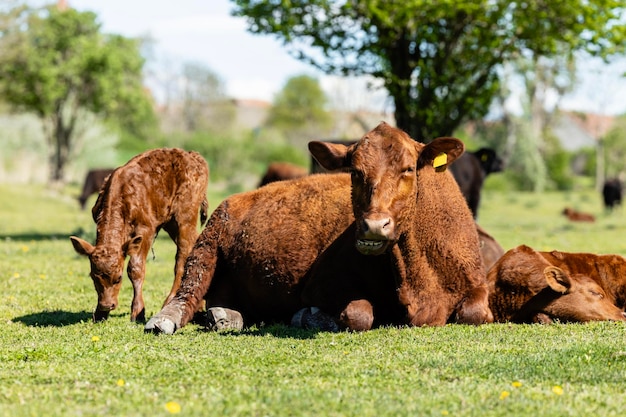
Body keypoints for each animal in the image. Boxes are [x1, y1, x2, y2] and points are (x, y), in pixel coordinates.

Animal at [70, 149, 208, 322]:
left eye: (118, 278)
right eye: (93, 277)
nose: (107, 305)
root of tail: (192, 155)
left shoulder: (146, 229)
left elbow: (135, 268)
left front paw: (138, 311)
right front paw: (100, 313)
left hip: (185, 217)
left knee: (182, 257)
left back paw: (170, 301)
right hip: (171, 223)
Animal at [146, 121, 492, 334]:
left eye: (408, 169)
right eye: (354, 172)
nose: (373, 225)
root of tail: (237, 198)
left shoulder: (476, 286)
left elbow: (475, 312)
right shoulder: (321, 284)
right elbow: (359, 314)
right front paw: (308, 316)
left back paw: (226, 316)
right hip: (206, 245)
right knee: (186, 292)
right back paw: (163, 320)